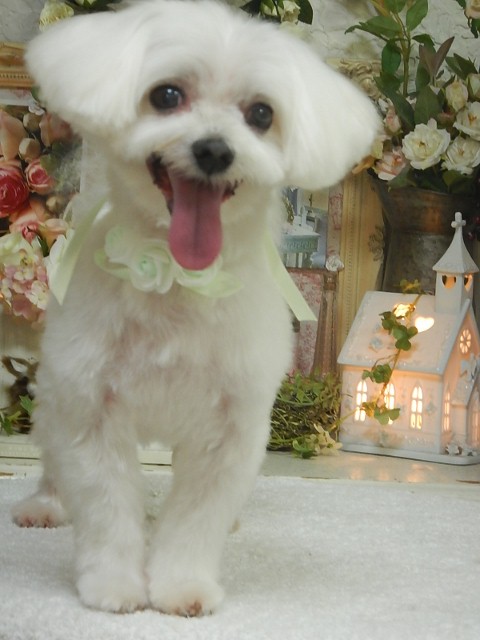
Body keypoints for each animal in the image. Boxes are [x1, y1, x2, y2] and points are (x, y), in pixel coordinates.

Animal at [11, 0, 379, 616]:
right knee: (52, 454)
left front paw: (181, 586)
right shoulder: (92, 409)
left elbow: (195, 519)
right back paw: (45, 503)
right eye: (165, 96)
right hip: (55, 394)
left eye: (261, 114)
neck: (175, 274)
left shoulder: (228, 426)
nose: (214, 150)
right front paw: (114, 586)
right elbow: (106, 508)